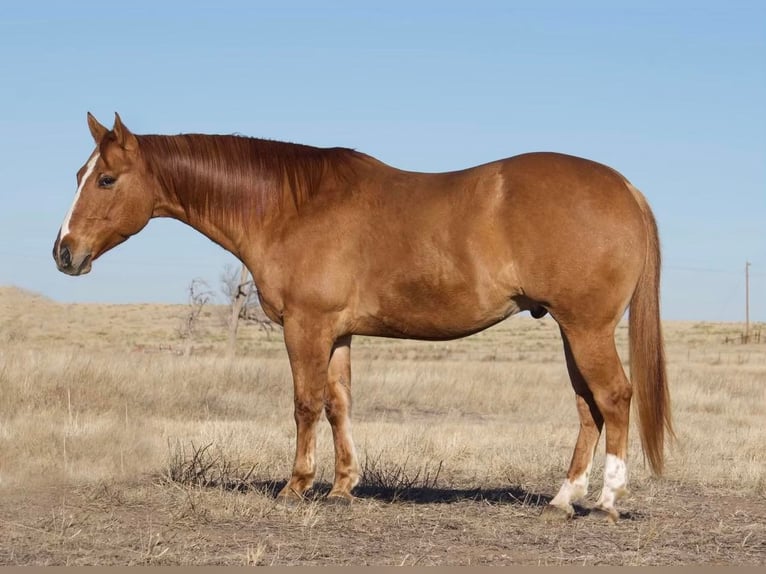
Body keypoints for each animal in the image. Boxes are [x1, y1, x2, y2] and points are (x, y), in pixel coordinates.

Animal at [52, 112, 672, 520]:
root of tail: (624, 187)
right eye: (78, 176)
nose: (64, 253)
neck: (292, 206)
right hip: (570, 330)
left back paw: (608, 501)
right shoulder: (338, 333)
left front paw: (297, 486)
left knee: (614, 397)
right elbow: (339, 405)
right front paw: (343, 486)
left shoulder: (306, 326)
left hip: (586, 328)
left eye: (106, 179)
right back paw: (562, 500)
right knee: (588, 408)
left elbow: (304, 404)